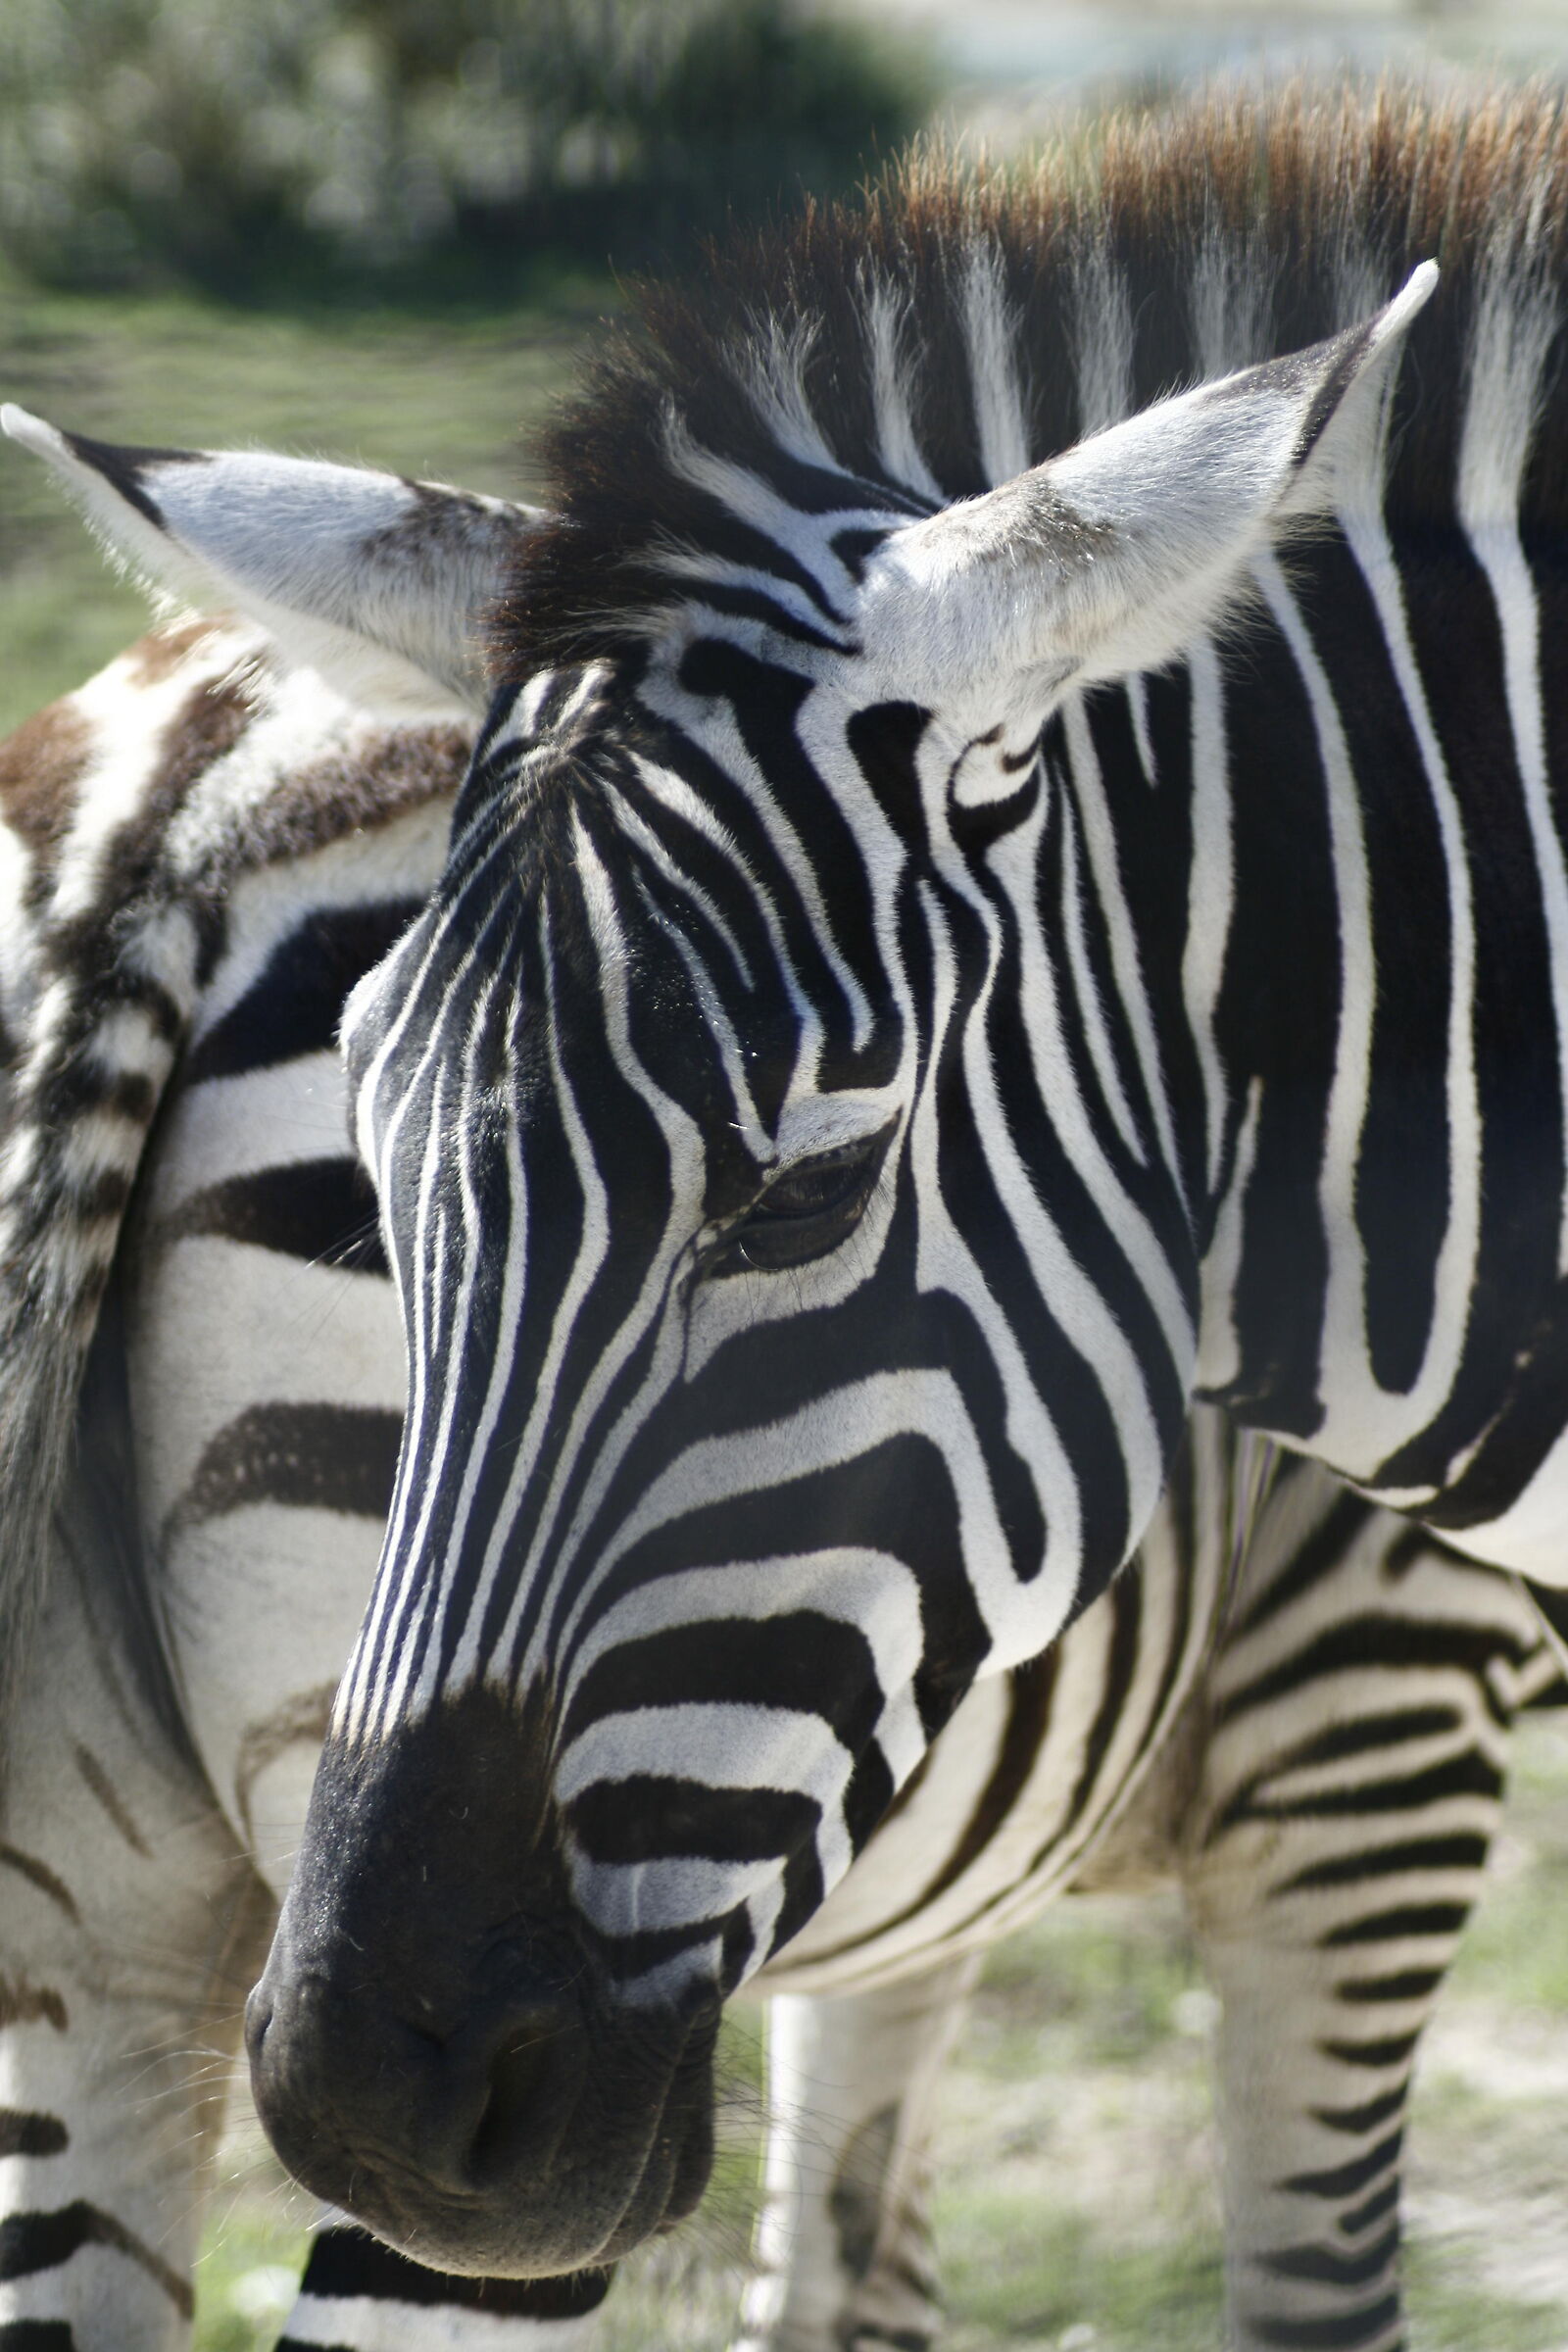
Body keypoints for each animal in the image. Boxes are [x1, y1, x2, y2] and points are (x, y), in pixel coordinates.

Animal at [4, 71, 1568, 2352]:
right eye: (377, 1174)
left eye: (814, 1184)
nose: (364, 2091)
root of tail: (165, 800)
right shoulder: (1366, 1726)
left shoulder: (899, 1836)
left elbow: (848, 2262)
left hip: (83, 1946)